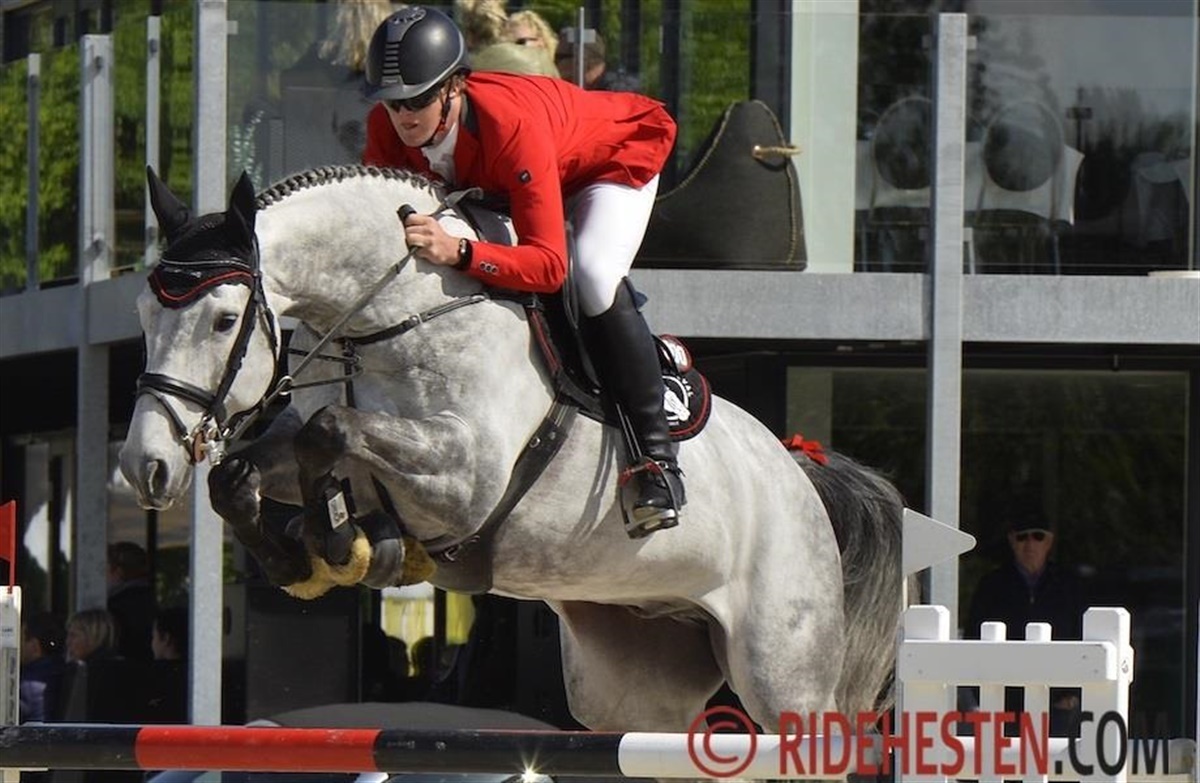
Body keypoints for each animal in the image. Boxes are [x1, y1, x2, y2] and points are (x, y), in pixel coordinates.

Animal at [119, 164, 905, 732]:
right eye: (144, 314)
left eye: (224, 321)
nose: (143, 465)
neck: (396, 315)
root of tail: (798, 470)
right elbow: (241, 472)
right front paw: (304, 553)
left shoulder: (466, 476)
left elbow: (331, 432)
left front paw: (345, 544)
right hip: (632, 683)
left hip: (784, 672)